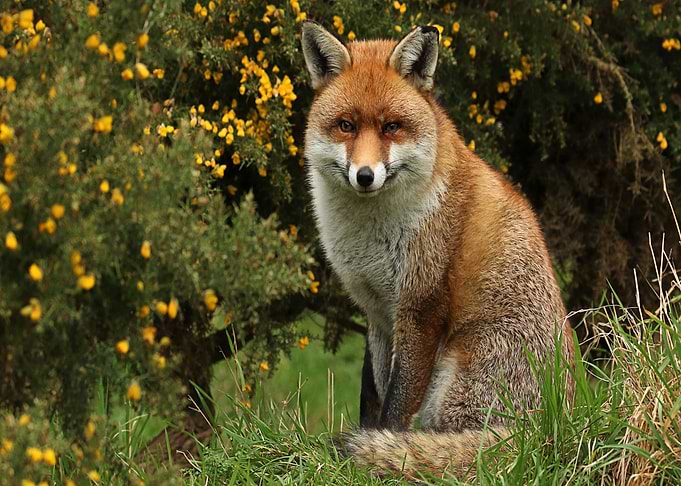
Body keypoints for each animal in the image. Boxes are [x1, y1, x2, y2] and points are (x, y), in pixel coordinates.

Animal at [301, 21, 575, 478]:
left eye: (392, 127)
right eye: (346, 125)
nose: (364, 175)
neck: (368, 234)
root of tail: (554, 425)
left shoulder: (420, 307)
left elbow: (396, 405)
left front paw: (379, 448)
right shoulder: (377, 311)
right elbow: (372, 393)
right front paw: (368, 440)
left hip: (454, 381)